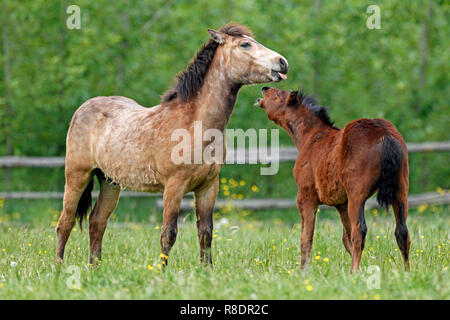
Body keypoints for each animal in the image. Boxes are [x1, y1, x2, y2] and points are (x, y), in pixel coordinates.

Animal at [56, 23, 288, 264]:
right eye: (245, 44)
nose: (282, 62)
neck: (195, 125)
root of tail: (83, 108)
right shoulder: (174, 186)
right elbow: (169, 233)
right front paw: (161, 270)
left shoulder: (208, 187)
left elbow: (205, 232)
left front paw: (207, 270)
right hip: (77, 176)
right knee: (66, 222)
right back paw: (58, 266)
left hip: (110, 181)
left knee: (97, 222)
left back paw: (95, 267)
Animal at [256, 87, 412, 272]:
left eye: (279, 95)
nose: (264, 88)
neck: (311, 137)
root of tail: (384, 135)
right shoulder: (342, 203)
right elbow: (345, 238)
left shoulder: (306, 197)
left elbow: (306, 239)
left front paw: (303, 271)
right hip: (400, 193)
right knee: (402, 232)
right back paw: (407, 271)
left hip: (357, 196)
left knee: (360, 232)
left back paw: (353, 272)